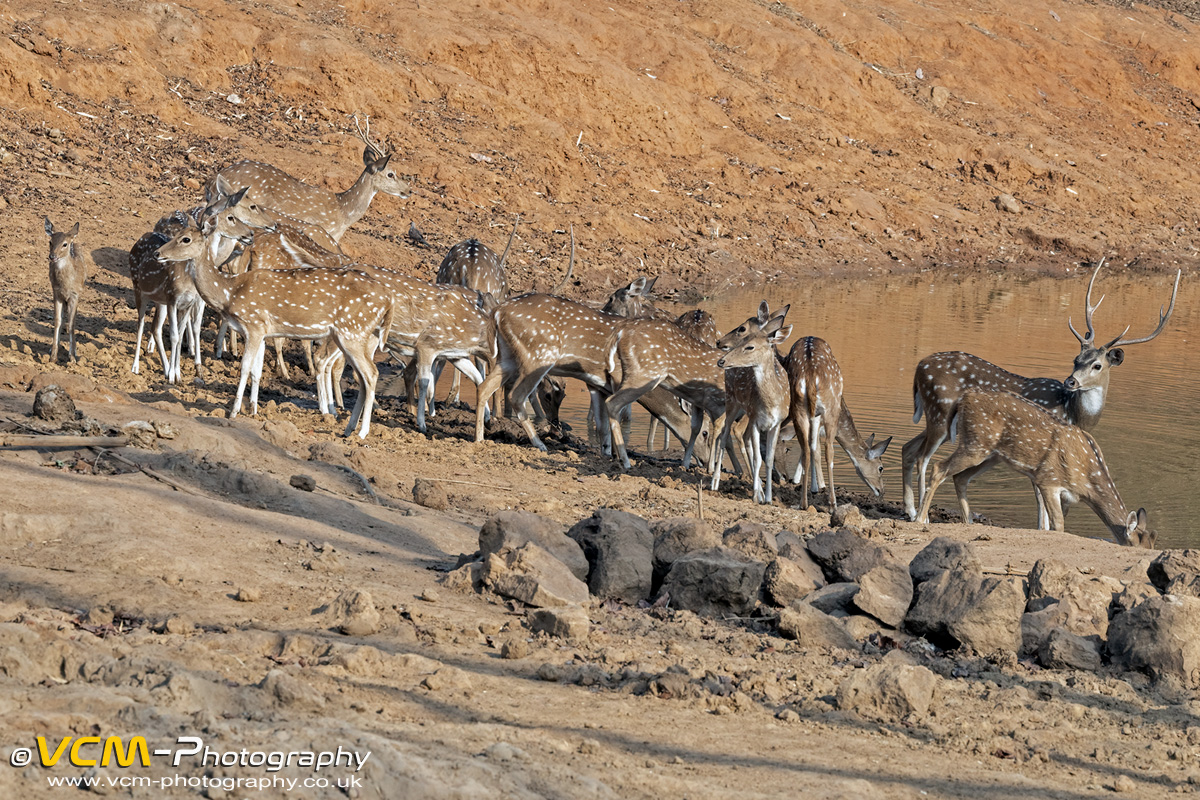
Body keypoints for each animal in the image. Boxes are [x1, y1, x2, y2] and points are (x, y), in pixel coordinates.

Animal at [44, 217, 86, 363]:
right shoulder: (56, 293)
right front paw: (53, 357)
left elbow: (72, 324)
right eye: (50, 242)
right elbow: (57, 321)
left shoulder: (75, 295)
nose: (52, 256)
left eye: (65, 244)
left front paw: (72, 358)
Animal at [154, 196, 394, 438]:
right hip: (353, 336)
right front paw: (253, 409)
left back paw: (362, 432)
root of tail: (388, 301)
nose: (158, 253)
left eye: (185, 239)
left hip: (352, 332)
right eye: (177, 233)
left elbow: (245, 367)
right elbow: (257, 370)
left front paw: (233, 411)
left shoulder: (254, 325)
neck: (230, 292)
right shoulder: (263, 331)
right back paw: (348, 428)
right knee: (362, 378)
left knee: (371, 374)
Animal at [712, 315, 793, 504]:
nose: (722, 361)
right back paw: (715, 482)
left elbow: (768, 459)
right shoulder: (756, 420)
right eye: (743, 340)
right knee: (724, 432)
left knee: (740, 435)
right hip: (731, 401)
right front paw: (756, 496)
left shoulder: (776, 423)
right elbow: (758, 459)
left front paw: (768, 497)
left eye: (750, 346)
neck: (770, 404)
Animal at [902, 260, 1180, 525]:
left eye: (1097, 365)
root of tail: (919, 367)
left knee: (908, 447)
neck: (1073, 412)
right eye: (1076, 359)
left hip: (939, 419)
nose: (1070, 381)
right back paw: (922, 516)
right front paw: (1043, 527)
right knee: (923, 458)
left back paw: (911, 509)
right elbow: (1041, 497)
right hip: (940, 410)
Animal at [916, 389, 1155, 547]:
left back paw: (969, 523)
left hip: (991, 455)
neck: (1086, 481)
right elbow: (1057, 524)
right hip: (975, 444)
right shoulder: (1048, 479)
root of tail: (963, 398)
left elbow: (1053, 523)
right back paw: (920, 519)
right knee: (938, 467)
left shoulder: (1067, 496)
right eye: (1134, 546)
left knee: (960, 478)